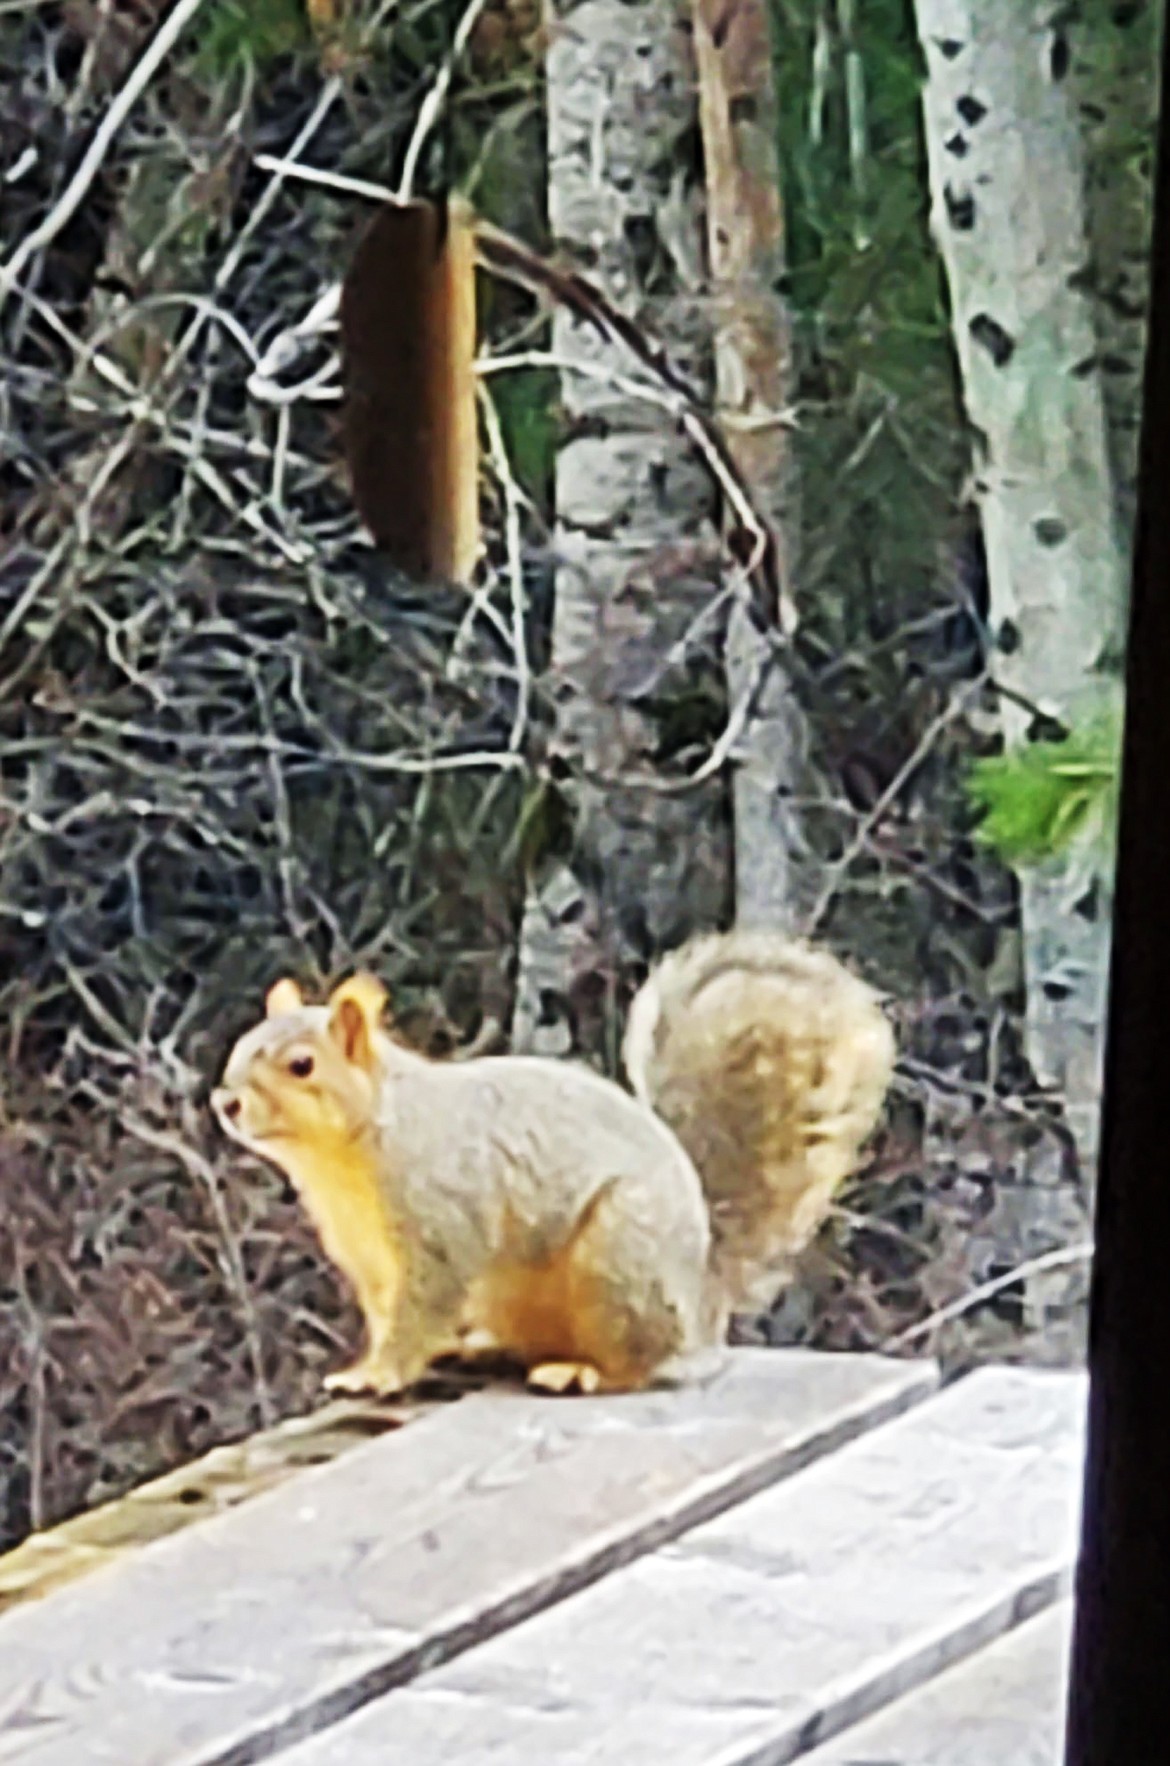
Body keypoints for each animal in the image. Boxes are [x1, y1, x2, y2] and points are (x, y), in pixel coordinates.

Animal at [212, 932, 896, 1398]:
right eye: (242, 1046)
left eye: (302, 1065)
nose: (226, 1101)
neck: (347, 1156)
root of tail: (704, 1293)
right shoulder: (367, 1259)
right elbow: (387, 1313)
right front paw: (373, 1363)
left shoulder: (442, 1218)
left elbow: (421, 1309)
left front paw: (377, 1376)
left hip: (619, 1260)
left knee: (642, 1363)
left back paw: (583, 1372)